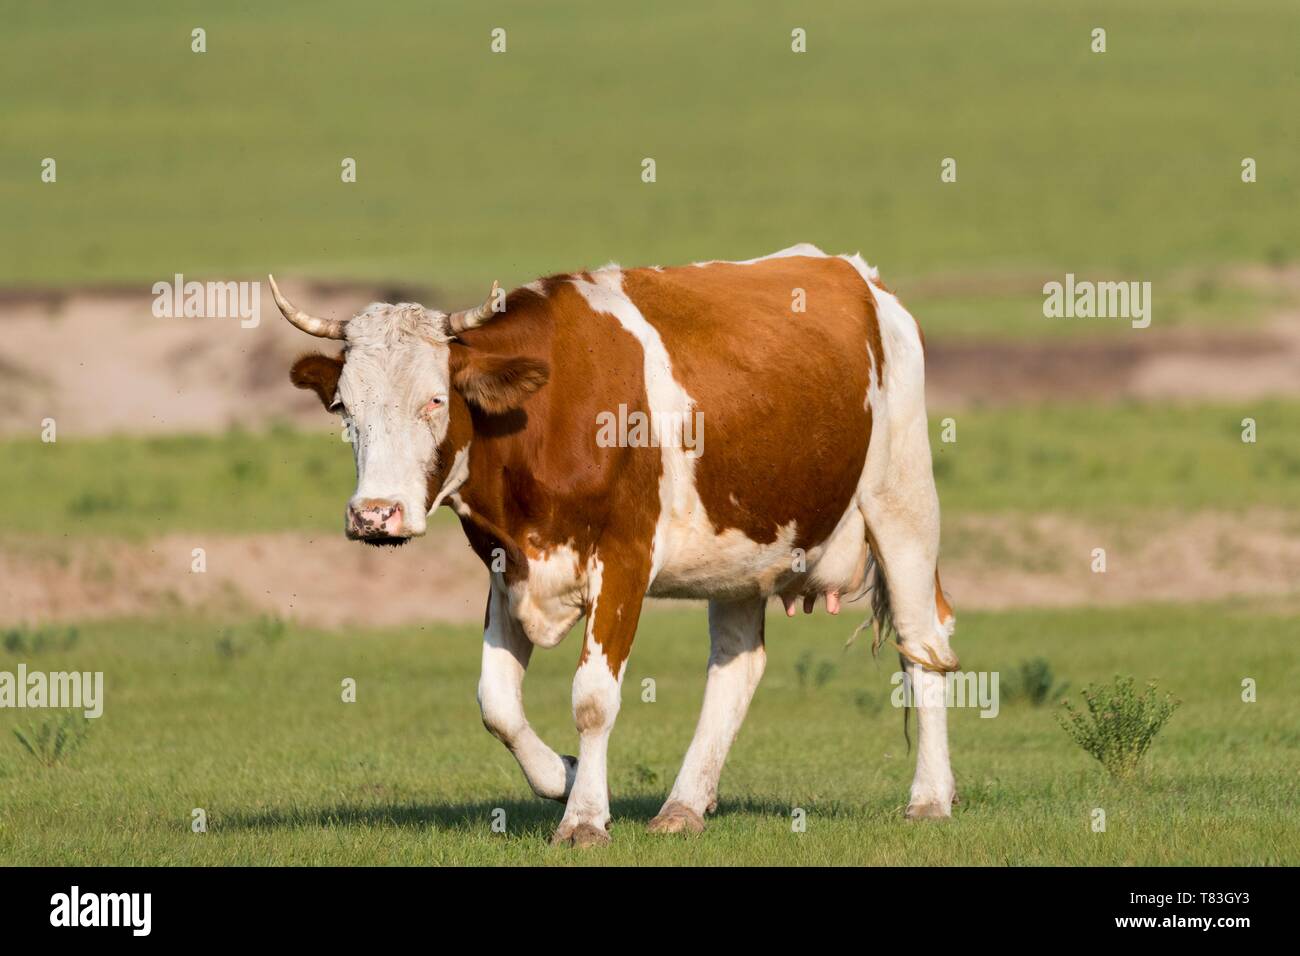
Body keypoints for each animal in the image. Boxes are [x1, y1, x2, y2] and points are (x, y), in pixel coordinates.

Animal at [272, 243, 959, 847]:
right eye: (344, 408)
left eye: (435, 400)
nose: (374, 514)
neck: (546, 414)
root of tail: (853, 272)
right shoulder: (507, 566)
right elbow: (497, 703)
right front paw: (565, 775)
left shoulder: (625, 559)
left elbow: (593, 699)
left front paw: (584, 818)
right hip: (744, 549)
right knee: (736, 666)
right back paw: (683, 806)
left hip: (903, 503)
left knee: (923, 643)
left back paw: (930, 798)